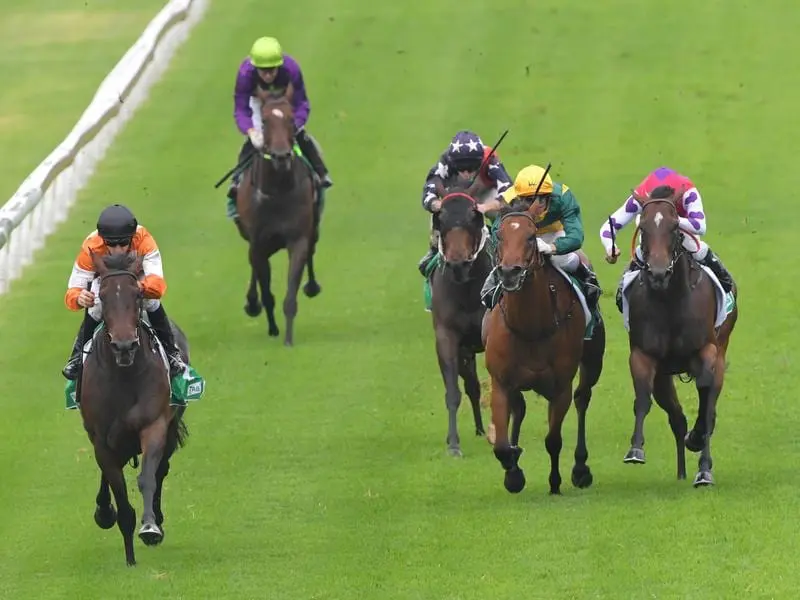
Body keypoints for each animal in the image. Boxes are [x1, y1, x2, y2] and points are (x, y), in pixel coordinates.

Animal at [79, 250, 190, 568]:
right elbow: (119, 493)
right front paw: (129, 556)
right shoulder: (101, 440)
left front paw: (150, 527)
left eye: (137, 294)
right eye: (102, 295)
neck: (124, 377)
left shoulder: (154, 425)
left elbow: (148, 478)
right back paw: (104, 511)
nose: (124, 345)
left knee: (162, 469)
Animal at [238, 86, 322, 344]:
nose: (281, 155)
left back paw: (312, 286)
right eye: (264, 121)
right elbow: (266, 290)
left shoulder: (298, 239)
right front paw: (273, 327)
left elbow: (291, 294)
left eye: (291, 119)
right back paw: (252, 303)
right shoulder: (258, 243)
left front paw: (288, 339)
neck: (277, 191)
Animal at [482, 200, 608, 492]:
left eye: (531, 236)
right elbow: (502, 447)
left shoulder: (560, 387)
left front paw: (555, 483)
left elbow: (553, 440)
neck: (531, 329)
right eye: (499, 235)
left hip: (593, 361)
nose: (509, 272)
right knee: (519, 408)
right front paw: (513, 471)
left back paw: (581, 469)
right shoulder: (501, 382)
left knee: (582, 399)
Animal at [620, 186, 736, 488]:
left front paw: (704, 467)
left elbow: (706, 407)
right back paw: (682, 470)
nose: (659, 273)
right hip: (664, 376)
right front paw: (635, 449)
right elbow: (642, 398)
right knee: (677, 417)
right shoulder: (643, 355)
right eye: (643, 227)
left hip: (721, 353)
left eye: (674, 227)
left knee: (708, 410)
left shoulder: (707, 353)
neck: (670, 300)